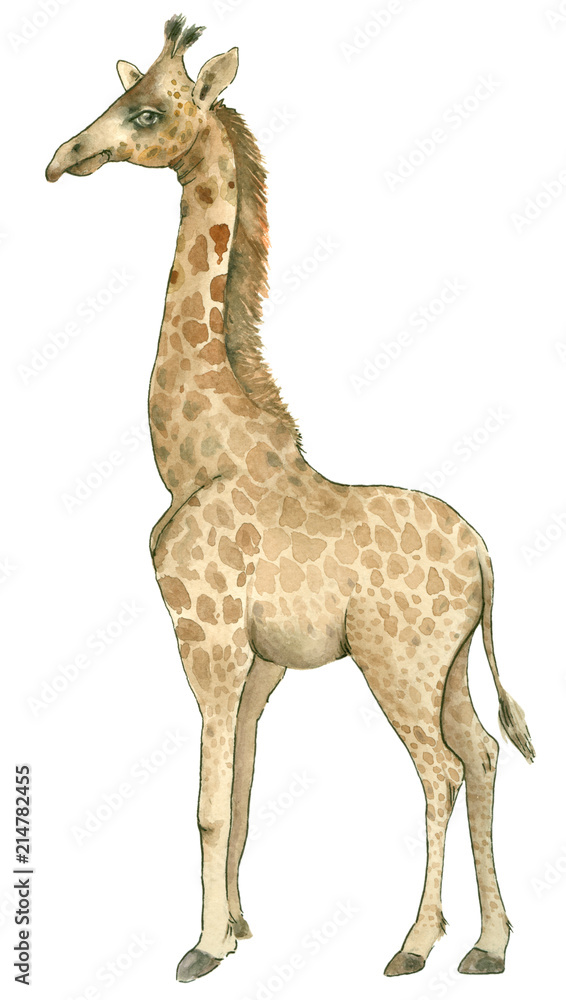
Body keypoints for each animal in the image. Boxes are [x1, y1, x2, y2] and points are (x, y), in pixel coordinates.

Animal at [46, 15, 535, 984]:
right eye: (118, 91)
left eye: (146, 109)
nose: (59, 158)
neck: (194, 455)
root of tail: (486, 556)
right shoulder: (260, 663)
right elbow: (240, 789)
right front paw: (235, 929)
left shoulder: (206, 640)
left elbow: (207, 803)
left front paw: (200, 949)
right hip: (452, 663)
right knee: (486, 754)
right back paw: (489, 947)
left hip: (396, 662)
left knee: (441, 770)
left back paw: (413, 945)